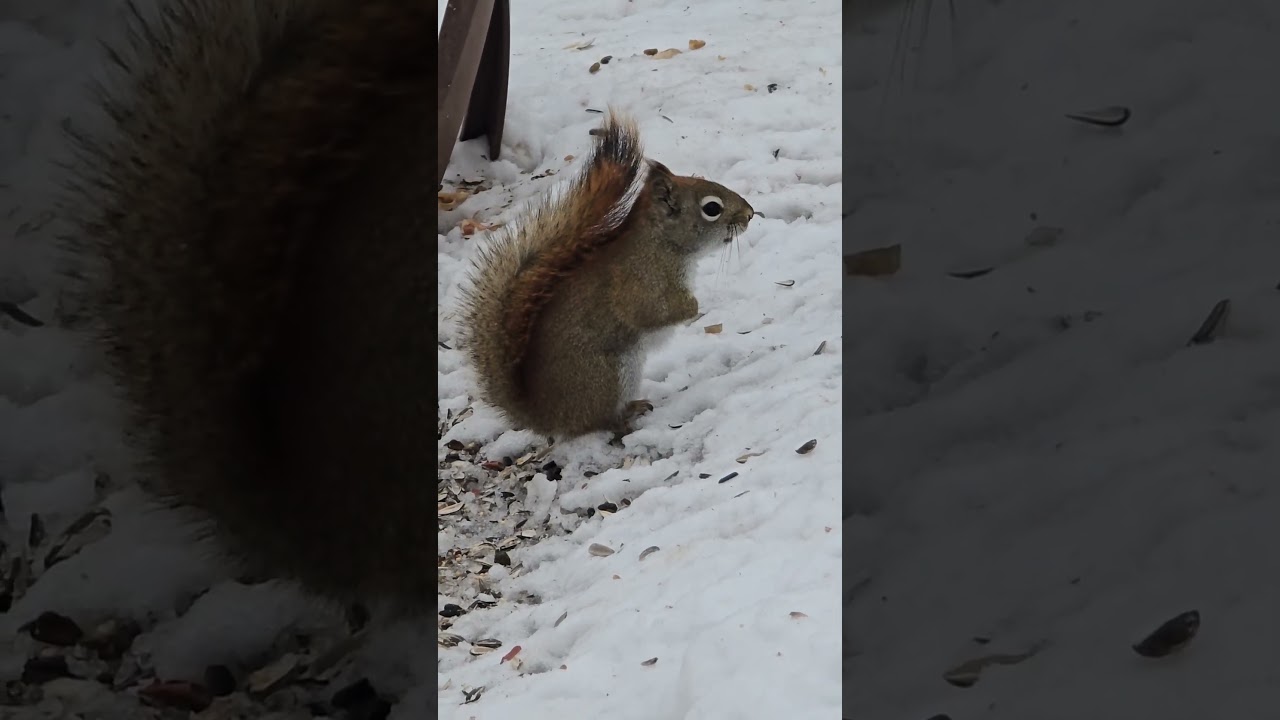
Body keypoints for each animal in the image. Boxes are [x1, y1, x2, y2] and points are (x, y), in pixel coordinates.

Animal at [458, 112, 755, 440]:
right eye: (712, 208)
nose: (750, 214)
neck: (662, 244)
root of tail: (545, 417)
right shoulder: (640, 282)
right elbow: (652, 312)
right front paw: (694, 308)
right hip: (610, 375)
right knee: (597, 422)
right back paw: (624, 417)